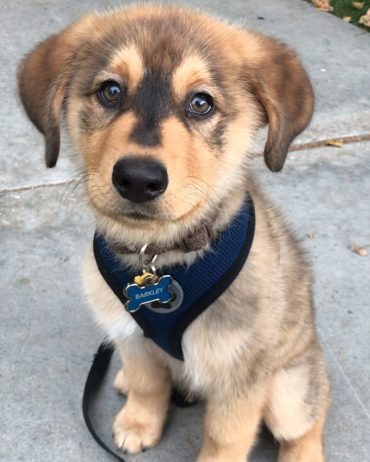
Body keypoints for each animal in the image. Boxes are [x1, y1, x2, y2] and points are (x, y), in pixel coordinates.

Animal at [16, 4, 330, 462]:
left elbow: (225, 437)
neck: (160, 257)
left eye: (201, 103)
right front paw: (140, 423)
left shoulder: (242, 372)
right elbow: (148, 385)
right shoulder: (131, 335)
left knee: (308, 419)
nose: (137, 179)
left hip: (290, 388)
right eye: (110, 91)